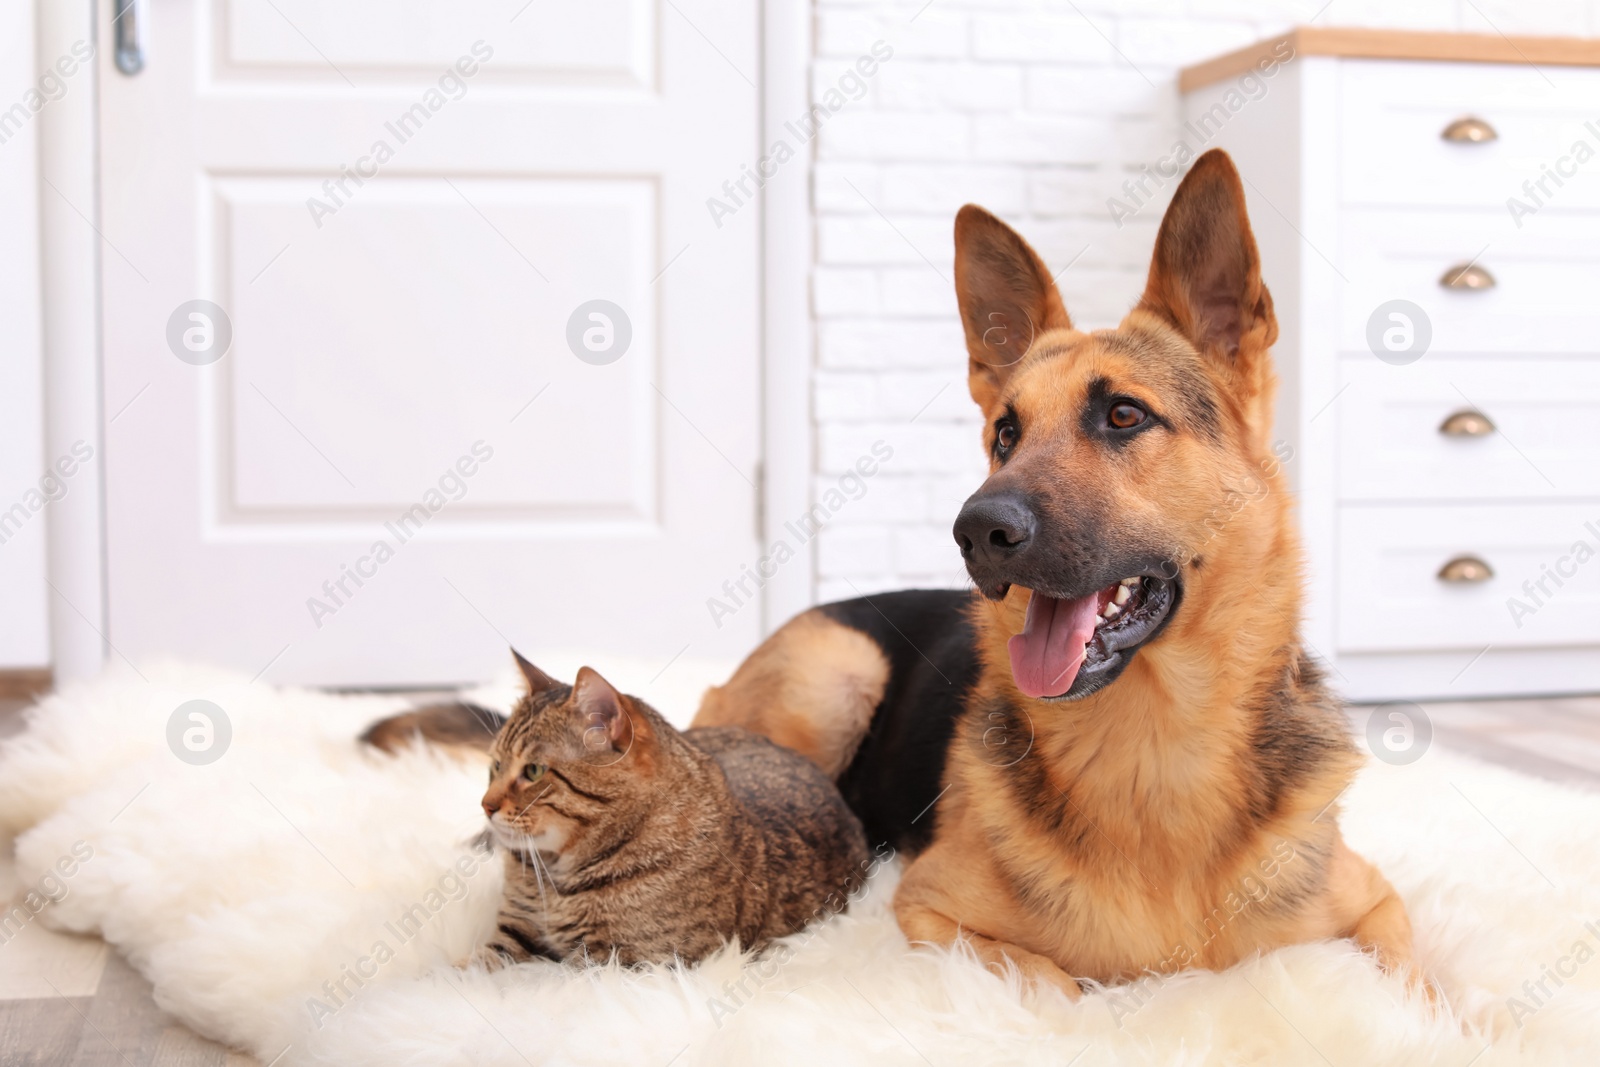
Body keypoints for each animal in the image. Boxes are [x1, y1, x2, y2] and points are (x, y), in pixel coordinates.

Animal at [360, 652, 876, 966]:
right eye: (495, 766)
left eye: (533, 771)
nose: (485, 805)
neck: (558, 877)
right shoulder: (513, 932)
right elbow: (472, 967)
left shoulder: (625, 961)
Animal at [694, 150, 1420, 1004]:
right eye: (1006, 433)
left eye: (1125, 416)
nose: (977, 531)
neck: (1154, 745)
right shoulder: (930, 907)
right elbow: (1056, 986)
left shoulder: (1380, 902)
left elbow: (1420, 986)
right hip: (835, 673)